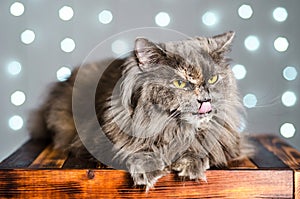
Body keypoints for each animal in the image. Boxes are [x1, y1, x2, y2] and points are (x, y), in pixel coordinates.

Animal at [29, 31, 251, 191]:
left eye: (213, 79)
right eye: (179, 83)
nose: (205, 99)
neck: (174, 128)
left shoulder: (228, 142)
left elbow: (200, 146)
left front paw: (190, 164)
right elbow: (137, 148)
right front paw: (148, 168)